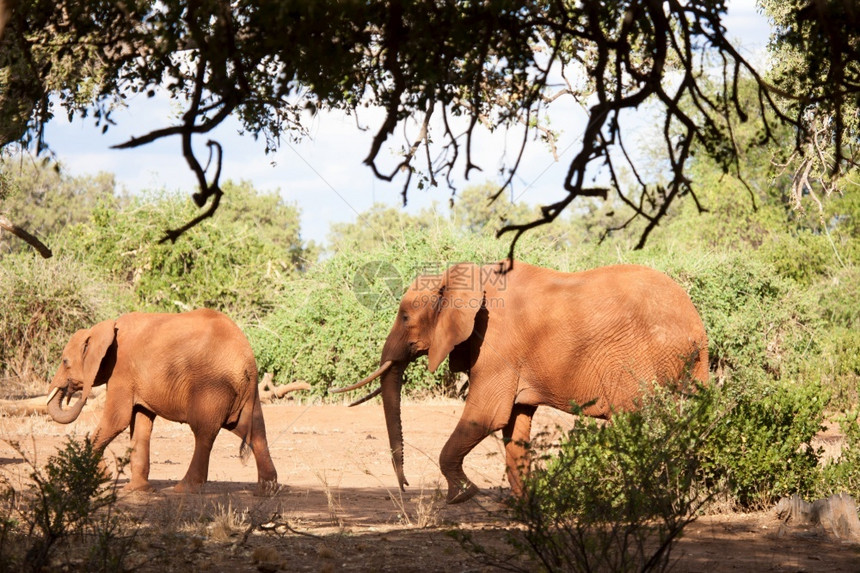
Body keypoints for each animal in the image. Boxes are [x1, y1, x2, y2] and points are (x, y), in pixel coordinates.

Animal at [46, 306, 278, 494]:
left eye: (65, 361)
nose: (70, 392)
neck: (103, 329)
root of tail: (248, 359)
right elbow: (140, 423)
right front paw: (137, 490)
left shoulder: (121, 370)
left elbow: (117, 420)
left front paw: (97, 475)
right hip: (242, 391)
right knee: (252, 429)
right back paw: (267, 490)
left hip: (212, 385)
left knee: (204, 432)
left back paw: (184, 489)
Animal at [334, 262, 704, 502]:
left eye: (405, 316)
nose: (406, 487)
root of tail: (697, 328)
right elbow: (514, 424)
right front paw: (524, 506)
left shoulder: (496, 344)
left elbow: (487, 416)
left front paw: (461, 496)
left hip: (642, 360)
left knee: (635, 421)